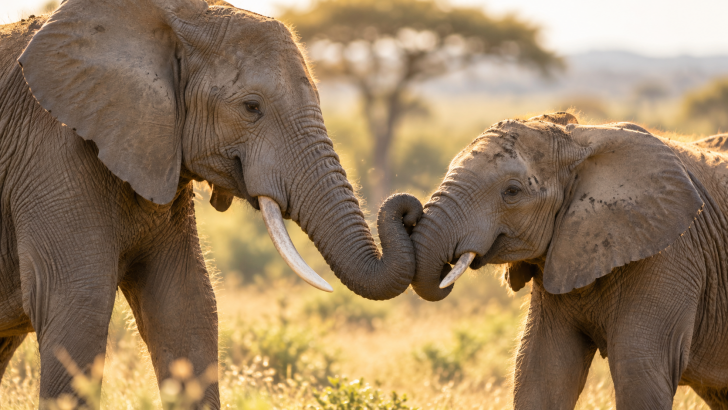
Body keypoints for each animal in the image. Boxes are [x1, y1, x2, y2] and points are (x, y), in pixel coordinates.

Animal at [0, 0, 422, 407]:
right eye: (251, 107)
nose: (409, 210)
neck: (175, 16)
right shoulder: (52, 157)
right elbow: (78, 306)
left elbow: (187, 304)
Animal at [407, 111, 728, 408]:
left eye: (512, 191)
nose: (407, 210)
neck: (579, 139)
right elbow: (542, 369)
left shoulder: (669, 254)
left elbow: (639, 370)